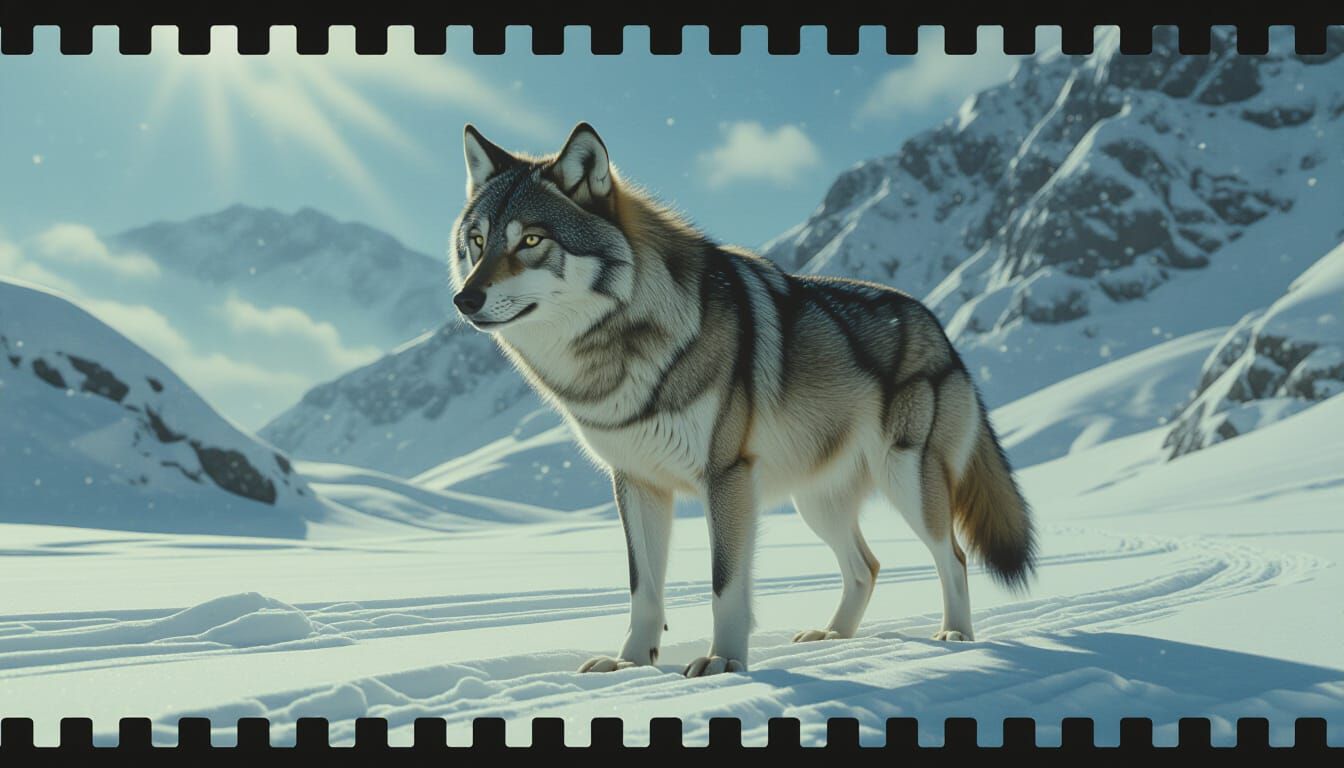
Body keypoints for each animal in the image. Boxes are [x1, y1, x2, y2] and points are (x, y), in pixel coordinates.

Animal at [448, 122, 1037, 677]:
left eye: (531, 241)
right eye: (477, 242)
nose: (463, 299)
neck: (620, 347)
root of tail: (938, 325)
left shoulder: (726, 476)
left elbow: (724, 583)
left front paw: (725, 662)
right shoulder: (636, 483)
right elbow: (644, 589)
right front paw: (632, 663)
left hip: (907, 481)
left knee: (952, 556)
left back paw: (955, 635)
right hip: (815, 503)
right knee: (866, 567)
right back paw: (832, 636)